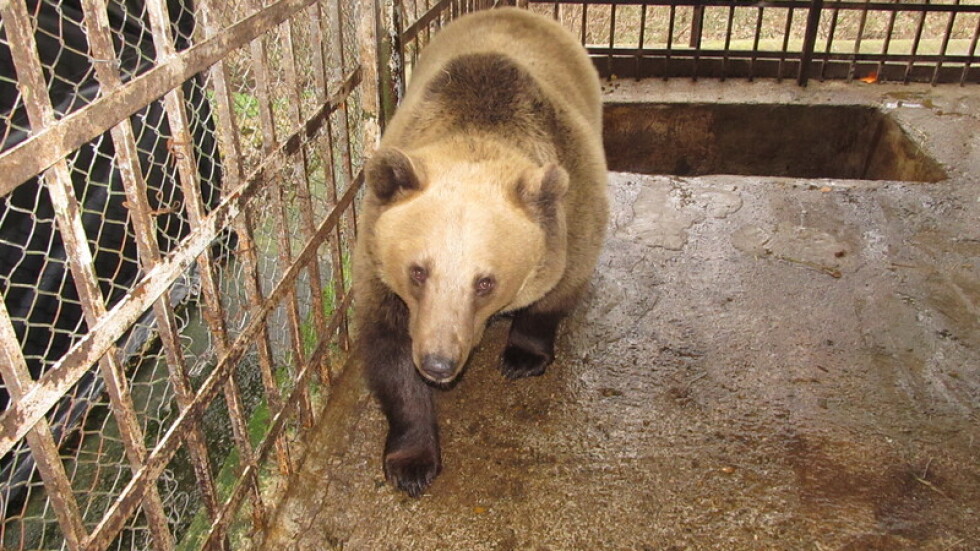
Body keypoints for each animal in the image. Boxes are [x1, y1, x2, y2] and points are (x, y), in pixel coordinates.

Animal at [356, 7, 608, 500]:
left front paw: (523, 356)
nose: (438, 362)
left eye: (485, 282)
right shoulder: (378, 266)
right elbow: (389, 355)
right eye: (418, 271)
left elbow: (555, 293)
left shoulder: (575, 212)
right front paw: (411, 462)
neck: (478, 130)